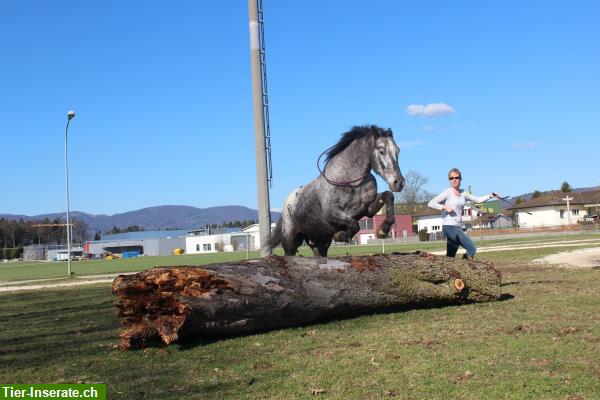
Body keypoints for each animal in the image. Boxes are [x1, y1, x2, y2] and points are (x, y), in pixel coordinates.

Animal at [270, 125, 406, 256]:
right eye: (381, 151)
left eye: (398, 151)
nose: (399, 183)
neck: (351, 182)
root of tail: (287, 204)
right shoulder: (332, 213)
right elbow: (354, 224)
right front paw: (341, 235)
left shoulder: (368, 209)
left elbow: (388, 196)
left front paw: (383, 230)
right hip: (290, 242)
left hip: (320, 243)